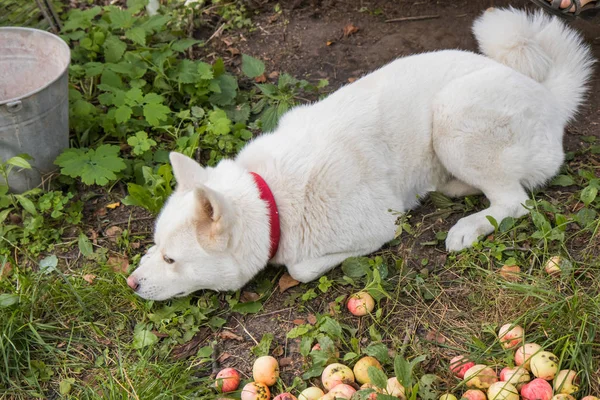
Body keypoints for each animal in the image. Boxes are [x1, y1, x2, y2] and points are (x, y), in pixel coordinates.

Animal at [125, 7, 592, 300]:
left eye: (171, 259)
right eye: (157, 247)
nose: (130, 283)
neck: (271, 198)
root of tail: (551, 98)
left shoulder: (380, 226)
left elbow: (299, 268)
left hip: (453, 116)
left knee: (514, 201)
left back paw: (468, 226)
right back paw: (455, 188)